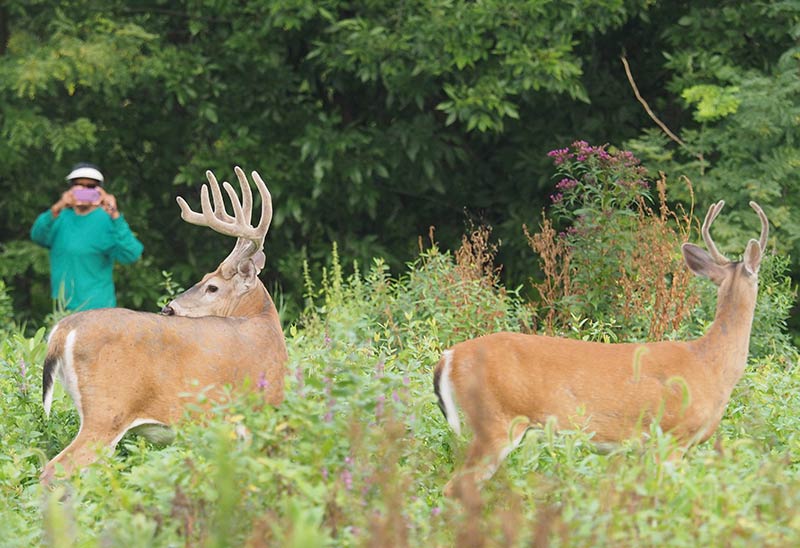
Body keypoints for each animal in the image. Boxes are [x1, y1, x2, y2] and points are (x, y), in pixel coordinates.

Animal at [40, 166, 288, 484]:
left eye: (211, 286)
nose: (168, 308)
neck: (265, 324)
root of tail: (62, 331)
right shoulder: (262, 407)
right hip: (107, 412)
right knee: (53, 470)